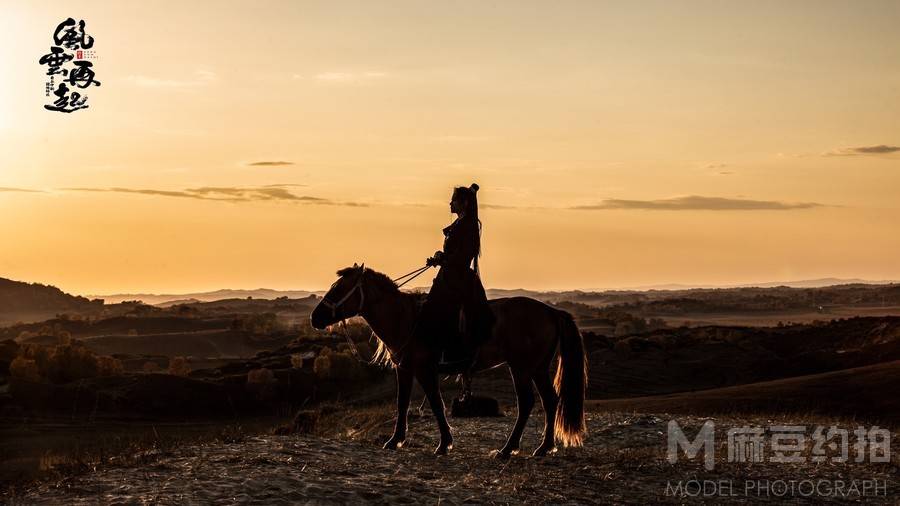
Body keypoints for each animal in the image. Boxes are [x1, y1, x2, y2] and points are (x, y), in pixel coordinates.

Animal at [312, 262, 592, 456]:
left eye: (339, 288)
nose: (316, 318)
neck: (406, 318)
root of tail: (551, 311)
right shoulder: (405, 369)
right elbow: (402, 403)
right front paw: (395, 440)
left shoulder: (425, 369)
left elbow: (436, 404)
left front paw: (444, 444)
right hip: (538, 368)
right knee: (550, 401)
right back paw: (544, 448)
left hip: (521, 368)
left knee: (526, 403)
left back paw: (507, 450)